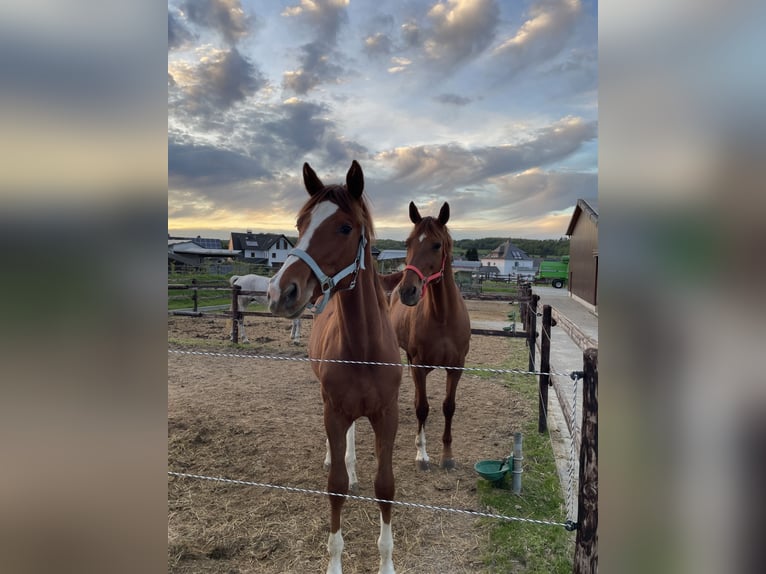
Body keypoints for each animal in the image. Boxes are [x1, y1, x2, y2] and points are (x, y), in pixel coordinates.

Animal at [267, 161, 402, 574]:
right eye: (300, 224)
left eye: (345, 227)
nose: (280, 292)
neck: (363, 348)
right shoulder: (335, 411)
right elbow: (336, 487)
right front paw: (335, 563)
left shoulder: (387, 414)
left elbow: (385, 487)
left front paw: (387, 563)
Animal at [389, 202, 471, 470]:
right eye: (408, 242)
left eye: (436, 245)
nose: (408, 291)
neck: (442, 317)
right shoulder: (419, 364)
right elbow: (422, 408)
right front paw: (421, 455)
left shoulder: (456, 367)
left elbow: (448, 407)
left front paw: (447, 455)